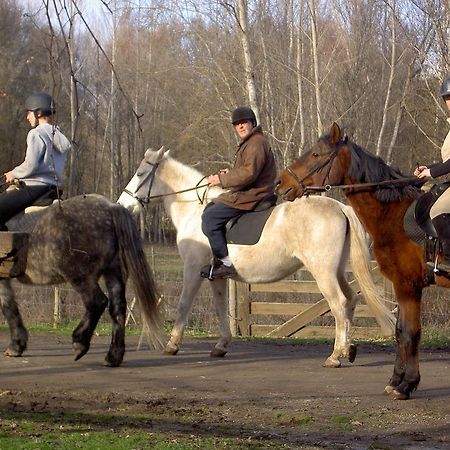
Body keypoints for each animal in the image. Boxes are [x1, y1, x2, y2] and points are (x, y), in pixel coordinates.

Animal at [0, 193, 162, 366]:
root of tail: (110, 207)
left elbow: (7, 307)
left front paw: (16, 345)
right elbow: (9, 306)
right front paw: (17, 344)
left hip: (80, 276)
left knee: (97, 302)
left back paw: (80, 342)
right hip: (113, 271)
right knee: (117, 307)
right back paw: (113, 356)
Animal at [276, 121, 448, 400]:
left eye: (316, 154)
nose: (280, 182)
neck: (394, 214)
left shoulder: (408, 286)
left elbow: (410, 333)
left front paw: (407, 385)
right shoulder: (402, 287)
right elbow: (400, 331)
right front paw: (395, 380)